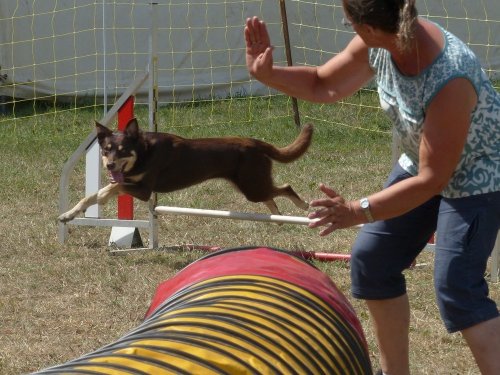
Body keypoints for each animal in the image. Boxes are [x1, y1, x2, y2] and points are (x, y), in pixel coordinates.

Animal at [58, 119, 312, 222]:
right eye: (106, 150)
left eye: (123, 150)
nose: (109, 165)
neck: (143, 153)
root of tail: (255, 142)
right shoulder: (131, 183)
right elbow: (89, 196)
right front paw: (67, 215)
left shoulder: (144, 190)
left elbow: (109, 189)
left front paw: (101, 197)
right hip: (251, 186)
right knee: (272, 195)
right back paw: (278, 217)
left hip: (252, 186)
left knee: (285, 188)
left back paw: (303, 207)